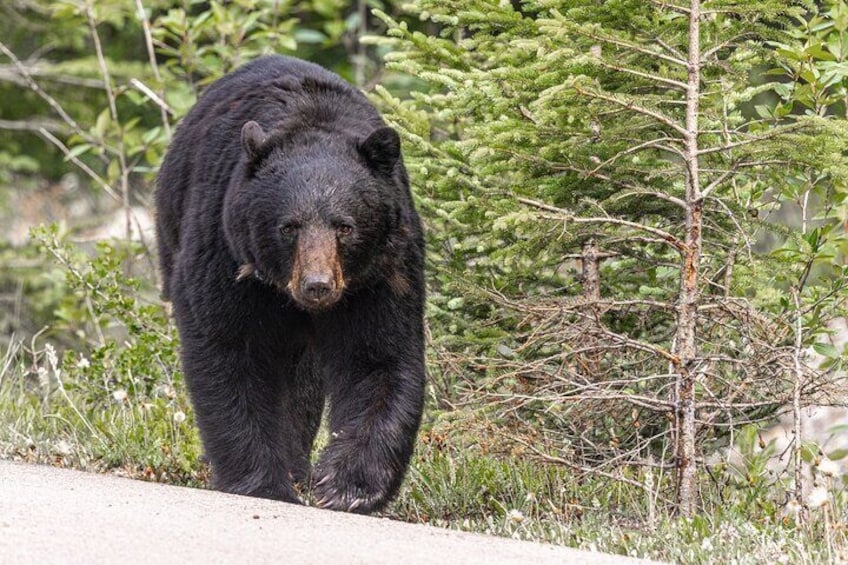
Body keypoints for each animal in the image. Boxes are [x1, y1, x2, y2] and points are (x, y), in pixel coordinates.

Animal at [155, 55, 425, 514]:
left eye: (344, 227)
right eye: (289, 227)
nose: (317, 284)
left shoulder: (382, 273)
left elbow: (378, 357)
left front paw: (347, 485)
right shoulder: (226, 253)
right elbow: (231, 351)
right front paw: (262, 482)